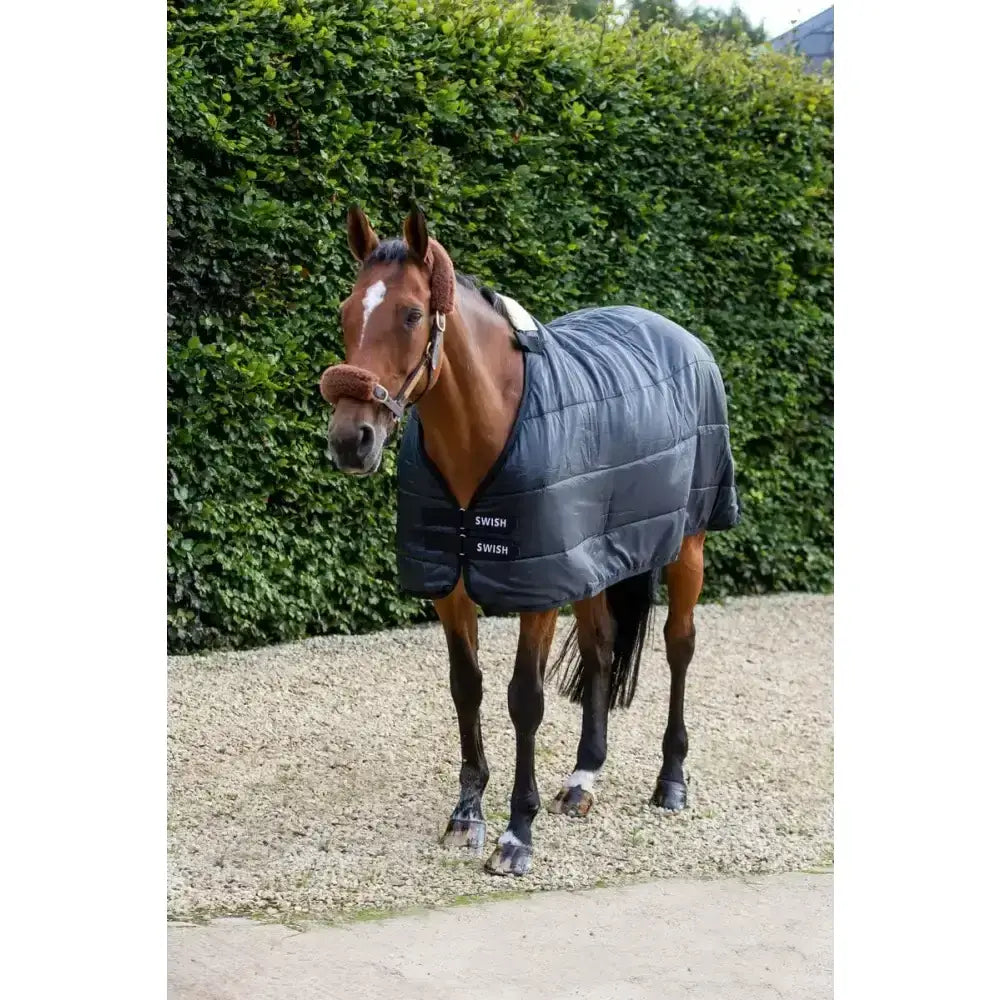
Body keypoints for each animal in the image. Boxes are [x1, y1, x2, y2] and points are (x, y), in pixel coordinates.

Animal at [319, 206, 740, 876]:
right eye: (346, 311)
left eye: (410, 314)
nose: (350, 440)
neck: (487, 431)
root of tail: (681, 336)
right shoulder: (453, 585)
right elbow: (467, 687)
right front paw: (467, 816)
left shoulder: (537, 590)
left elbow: (525, 699)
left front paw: (517, 833)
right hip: (593, 561)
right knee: (600, 649)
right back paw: (583, 778)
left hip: (688, 544)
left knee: (680, 646)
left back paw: (671, 779)